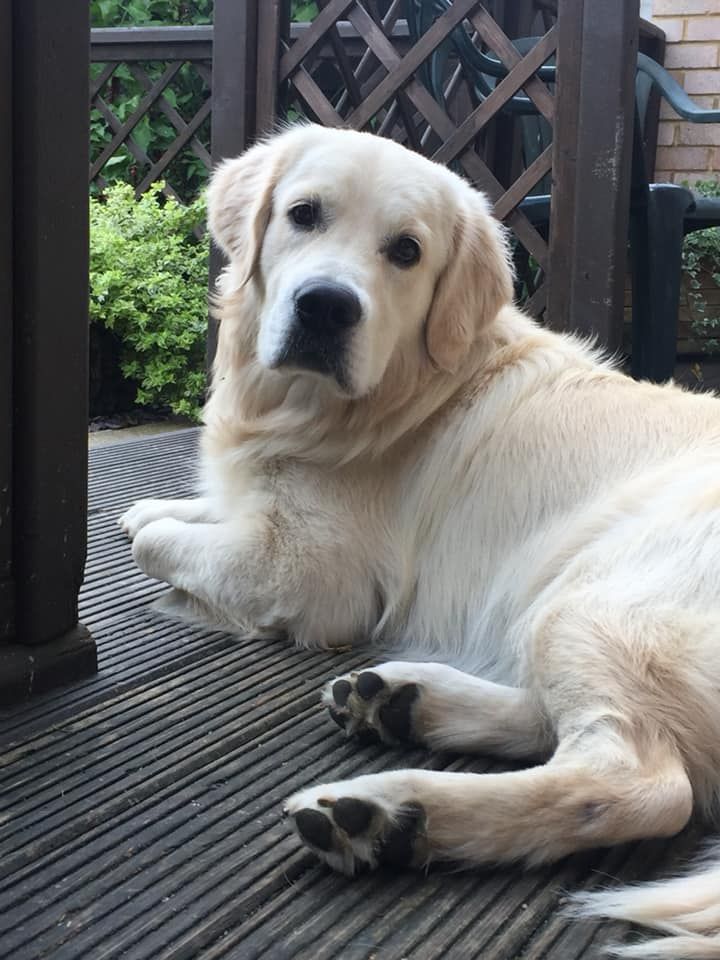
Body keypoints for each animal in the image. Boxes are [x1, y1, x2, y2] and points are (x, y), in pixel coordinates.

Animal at [122, 127, 720, 960]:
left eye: (406, 251)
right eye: (303, 214)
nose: (326, 306)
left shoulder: (307, 574)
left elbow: (159, 544)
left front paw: (156, 534)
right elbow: (182, 510)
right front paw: (157, 506)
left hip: (605, 597)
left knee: (642, 781)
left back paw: (391, 814)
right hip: (559, 598)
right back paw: (399, 703)